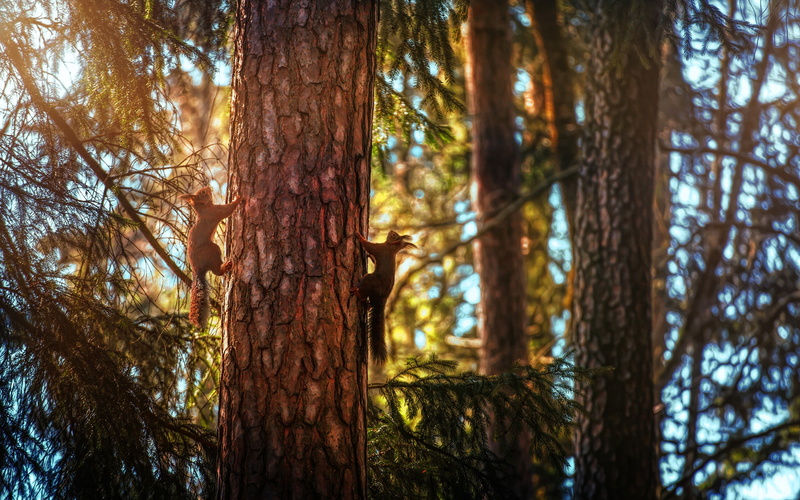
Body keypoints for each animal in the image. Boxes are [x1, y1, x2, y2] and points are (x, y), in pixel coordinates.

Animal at [178, 186, 242, 328]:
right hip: (213, 250)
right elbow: (227, 210)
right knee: (216, 271)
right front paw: (238, 198)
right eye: (203, 193)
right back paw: (226, 266)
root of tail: (197, 268)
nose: (209, 187)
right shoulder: (215, 212)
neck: (203, 208)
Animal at [352, 231, 416, 364]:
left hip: (370, 280)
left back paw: (358, 293)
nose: (391, 231)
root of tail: (383, 298)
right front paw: (369, 256)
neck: (392, 249)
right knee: (371, 303)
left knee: (364, 293)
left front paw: (360, 236)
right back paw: (368, 306)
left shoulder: (381, 249)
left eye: (394, 236)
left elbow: (370, 246)